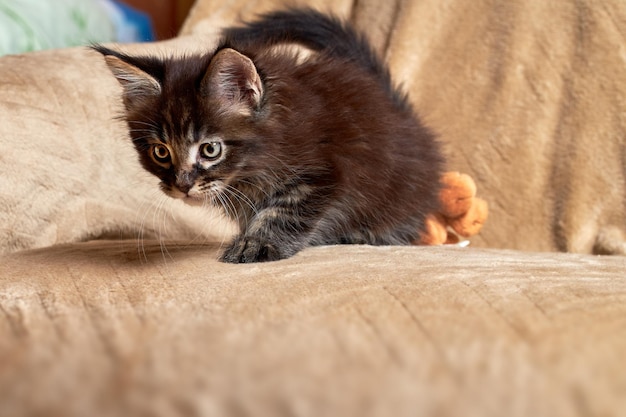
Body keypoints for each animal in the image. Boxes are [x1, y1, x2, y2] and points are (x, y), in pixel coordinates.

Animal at [94, 8, 444, 264]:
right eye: (161, 152)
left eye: (210, 150)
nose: (182, 186)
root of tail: (398, 108)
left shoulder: (323, 172)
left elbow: (282, 212)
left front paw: (256, 244)